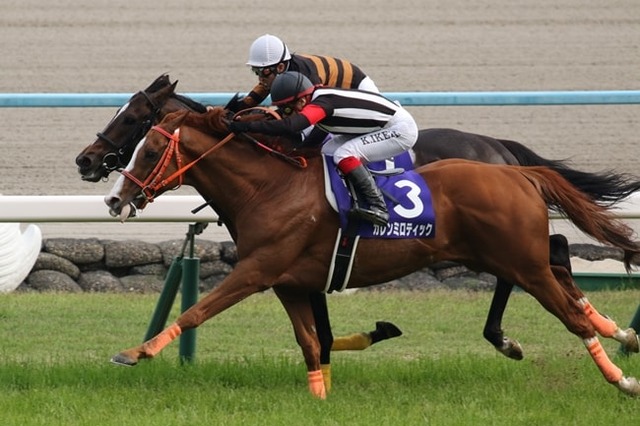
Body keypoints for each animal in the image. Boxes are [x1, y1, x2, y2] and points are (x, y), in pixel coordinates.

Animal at [75, 75, 640, 370]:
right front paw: (370, 335)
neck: (270, 177)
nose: (87, 162)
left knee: (536, 264)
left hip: (492, 242)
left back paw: (520, 337)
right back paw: (605, 326)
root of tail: (501, 152)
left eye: (134, 121)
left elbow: (320, 335)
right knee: (556, 251)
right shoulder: (307, 270)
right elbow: (320, 335)